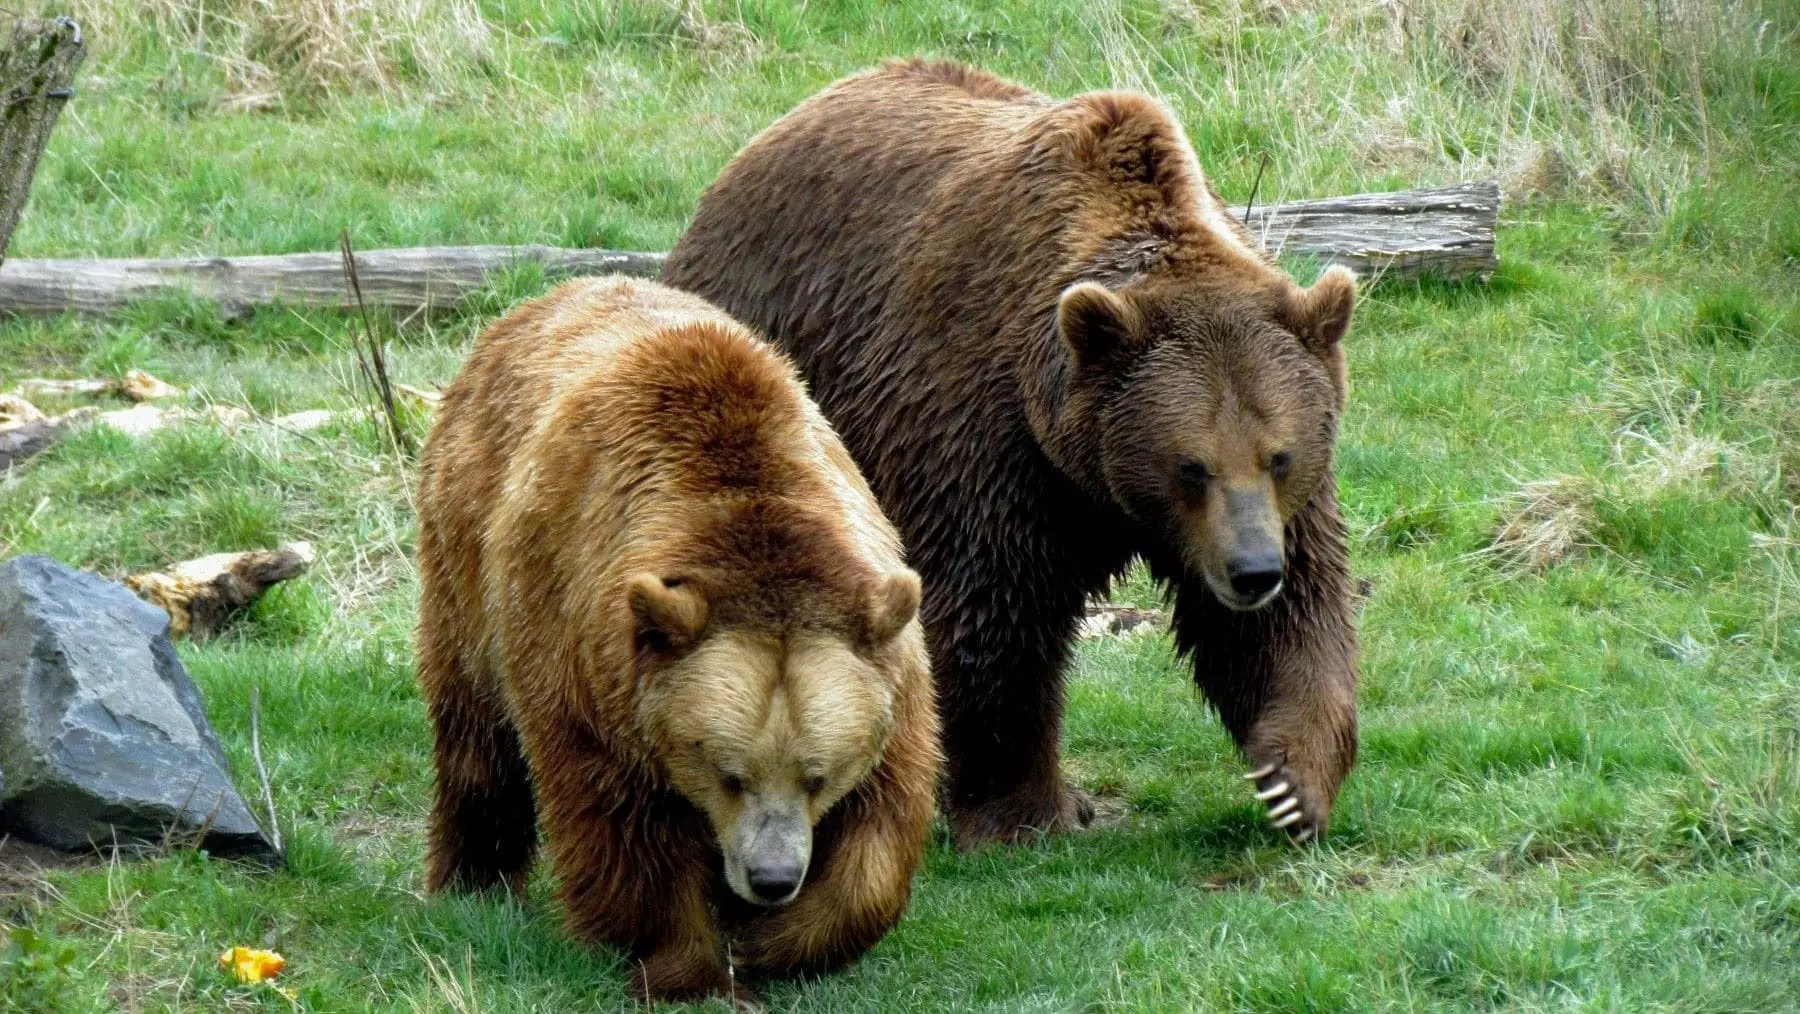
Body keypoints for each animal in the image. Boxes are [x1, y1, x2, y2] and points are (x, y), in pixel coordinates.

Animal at [413, 276, 940, 1003]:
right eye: (729, 774)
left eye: (817, 775)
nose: (772, 879)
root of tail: (545, 299)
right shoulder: (583, 659)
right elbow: (624, 832)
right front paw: (689, 968)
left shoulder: (887, 665)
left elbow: (879, 832)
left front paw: (772, 943)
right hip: (464, 552)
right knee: (476, 733)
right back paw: (473, 882)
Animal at [663, 59, 1359, 849]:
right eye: (1191, 466)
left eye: (1279, 457)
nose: (1251, 570)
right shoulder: (988, 435)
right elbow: (992, 611)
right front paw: (1026, 812)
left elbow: (1286, 617)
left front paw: (1291, 783)